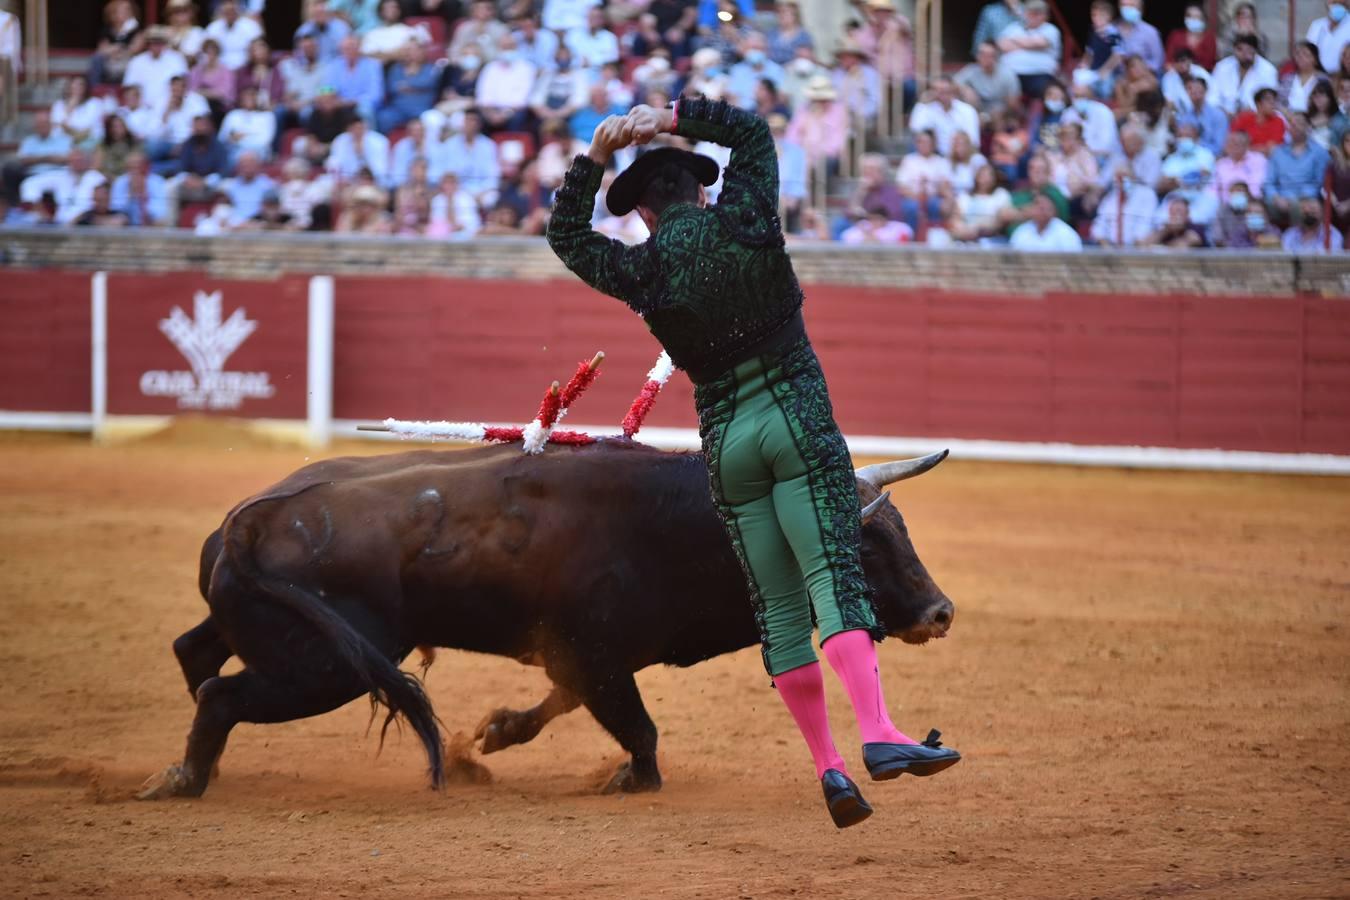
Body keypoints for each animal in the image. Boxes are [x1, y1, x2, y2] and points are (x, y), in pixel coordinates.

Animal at [142, 439, 955, 798]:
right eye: (864, 541)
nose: (941, 611)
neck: (681, 523)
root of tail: (252, 520)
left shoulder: (591, 655)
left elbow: (562, 705)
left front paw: (494, 737)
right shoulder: (593, 652)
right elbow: (638, 728)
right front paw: (633, 780)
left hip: (261, 633)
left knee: (193, 654)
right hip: (322, 667)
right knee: (221, 694)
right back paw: (182, 780)